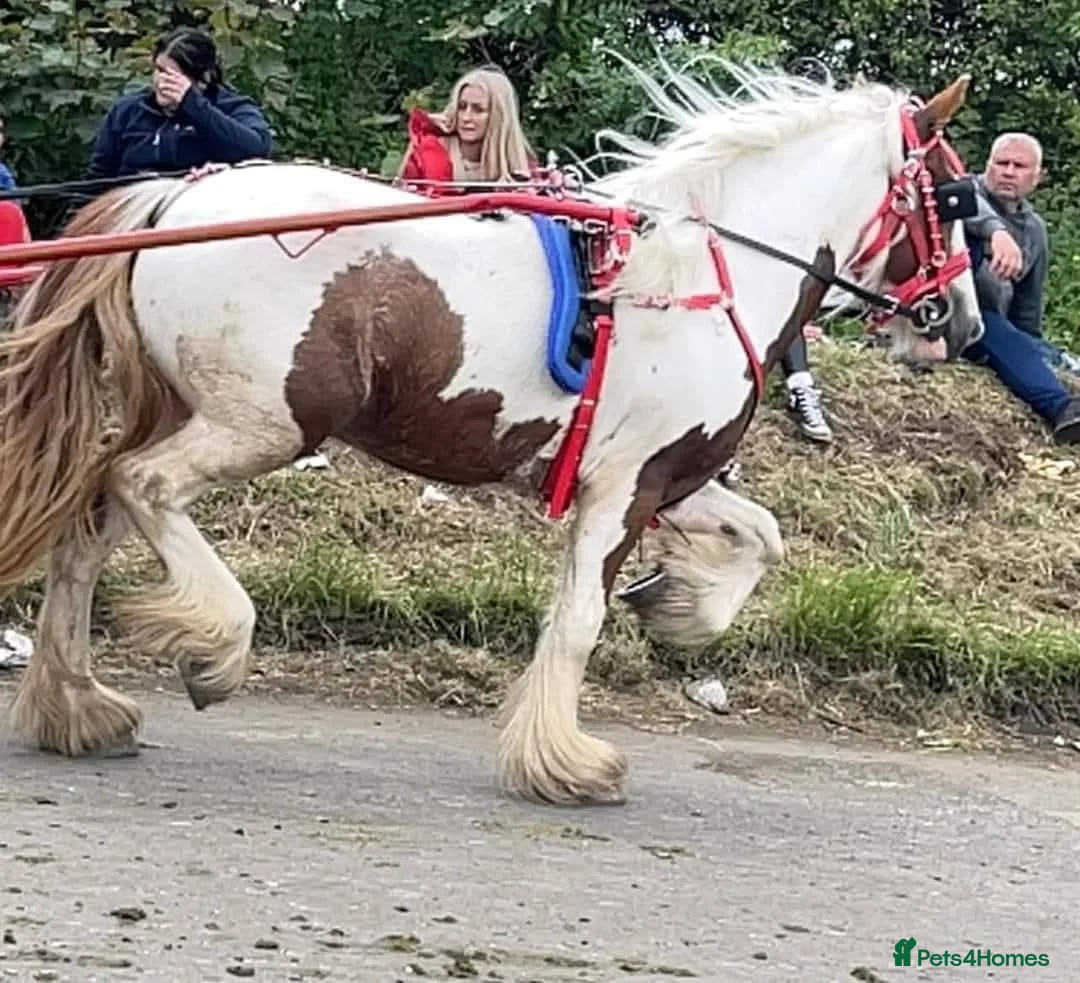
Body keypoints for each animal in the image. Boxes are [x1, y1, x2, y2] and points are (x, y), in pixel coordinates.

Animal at [0, 61, 982, 806]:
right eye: (953, 195)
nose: (964, 323)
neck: (700, 272)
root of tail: (176, 196)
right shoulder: (623, 489)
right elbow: (579, 619)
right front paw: (564, 761)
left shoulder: (675, 475)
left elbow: (762, 537)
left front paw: (680, 605)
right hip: (262, 424)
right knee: (143, 487)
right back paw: (213, 643)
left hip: (187, 411)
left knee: (86, 530)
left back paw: (78, 708)